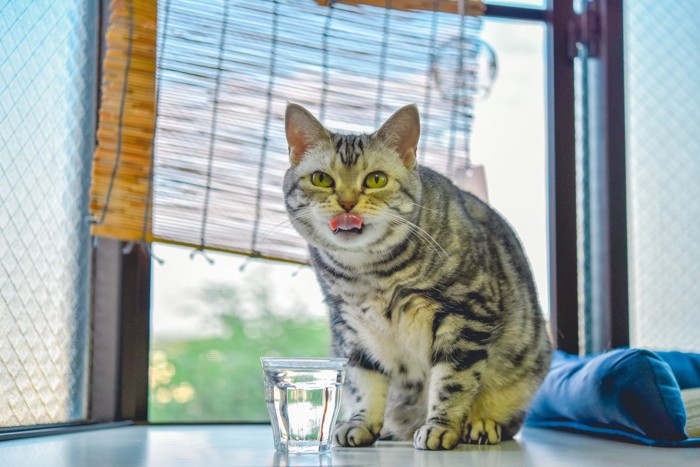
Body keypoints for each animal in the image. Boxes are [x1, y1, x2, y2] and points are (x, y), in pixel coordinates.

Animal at [282, 102, 548, 450]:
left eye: (376, 179)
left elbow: (452, 382)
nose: (347, 202)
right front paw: (362, 423)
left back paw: (482, 424)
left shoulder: (466, 316)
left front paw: (440, 427)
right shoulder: (351, 328)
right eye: (321, 179)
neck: (369, 273)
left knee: (510, 418)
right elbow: (364, 382)